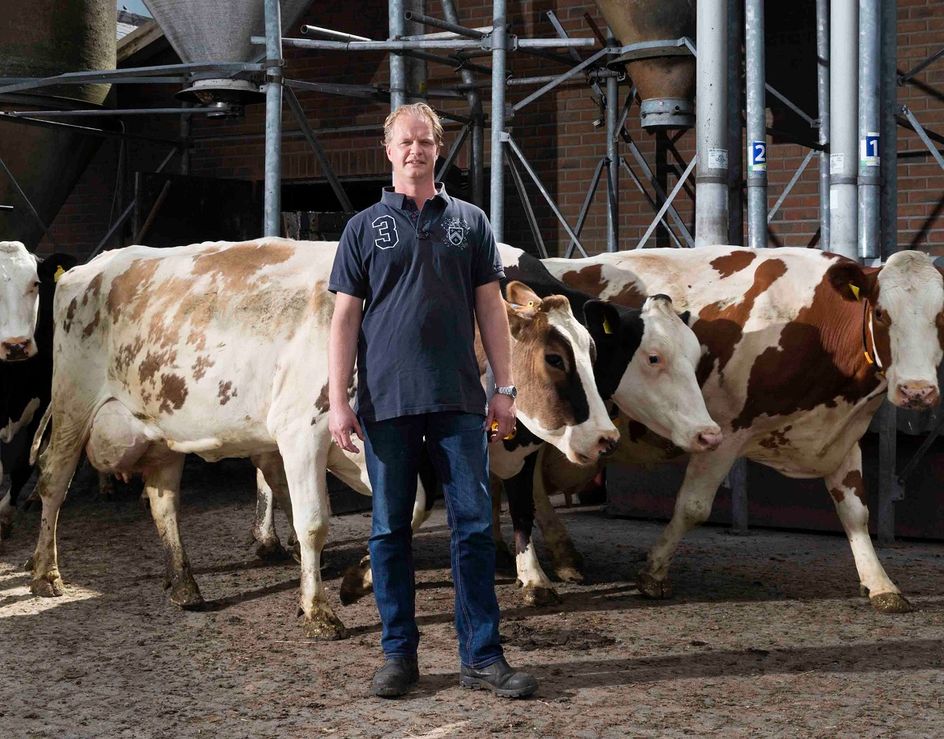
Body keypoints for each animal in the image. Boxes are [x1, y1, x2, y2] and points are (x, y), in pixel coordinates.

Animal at [25, 240, 624, 640]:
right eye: (555, 358)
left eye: (595, 351)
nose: (607, 438)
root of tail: (91, 266)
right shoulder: (301, 433)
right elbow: (313, 523)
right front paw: (317, 609)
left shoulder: (386, 447)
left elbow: (410, 509)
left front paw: (357, 581)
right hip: (74, 403)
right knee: (53, 480)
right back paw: (45, 574)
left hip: (166, 431)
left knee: (164, 500)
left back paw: (184, 584)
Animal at [532, 244, 944, 612]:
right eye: (882, 314)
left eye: (942, 318)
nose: (918, 391)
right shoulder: (724, 432)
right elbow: (693, 507)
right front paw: (654, 572)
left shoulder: (843, 437)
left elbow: (856, 513)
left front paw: (880, 584)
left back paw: (564, 557)